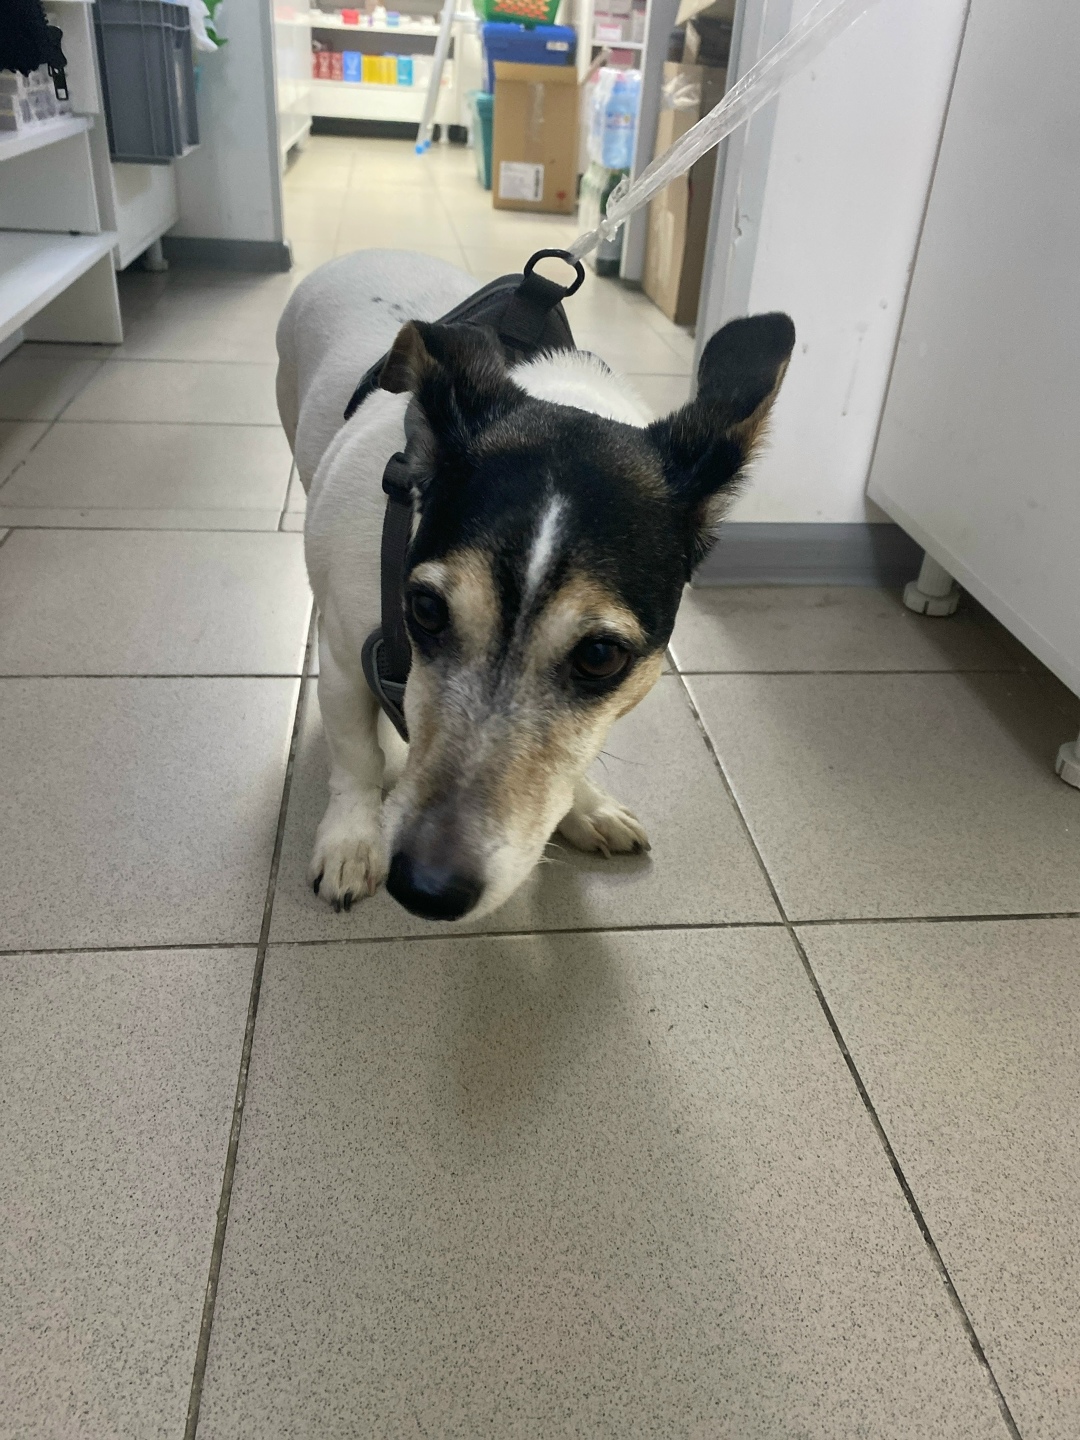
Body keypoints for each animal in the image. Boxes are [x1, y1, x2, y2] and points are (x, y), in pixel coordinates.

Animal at [276, 249, 793, 923]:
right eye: (426, 609)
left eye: (600, 656)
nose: (424, 889)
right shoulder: (341, 662)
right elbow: (356, 759)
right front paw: (350, 840)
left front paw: (587, 804)